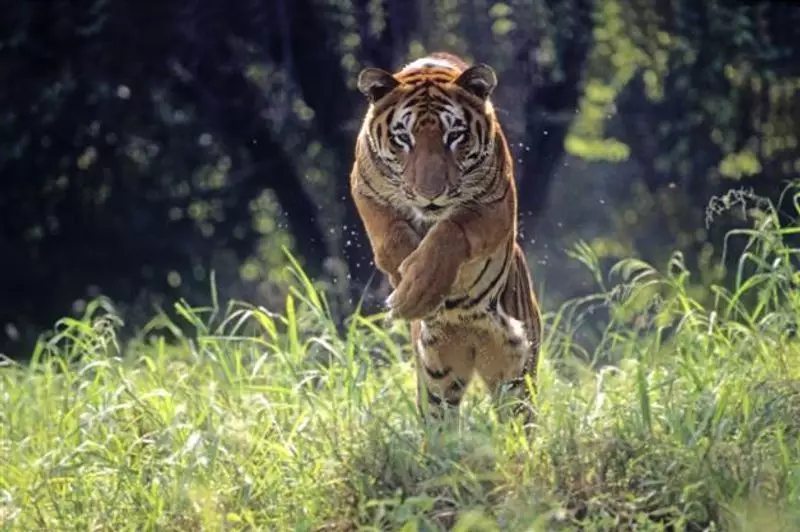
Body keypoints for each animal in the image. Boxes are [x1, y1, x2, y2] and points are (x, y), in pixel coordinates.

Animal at [349, 51, 542, 426]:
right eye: (403, 138)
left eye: (455, 135)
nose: (430, 195)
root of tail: (470, 336)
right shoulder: (365, 190)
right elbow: (393, 238)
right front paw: (407, 289)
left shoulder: (495, 206)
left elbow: (449, 233)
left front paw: (419, 290)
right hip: (439, 373)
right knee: (441, 419)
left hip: (515, 371)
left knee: (517, 418)